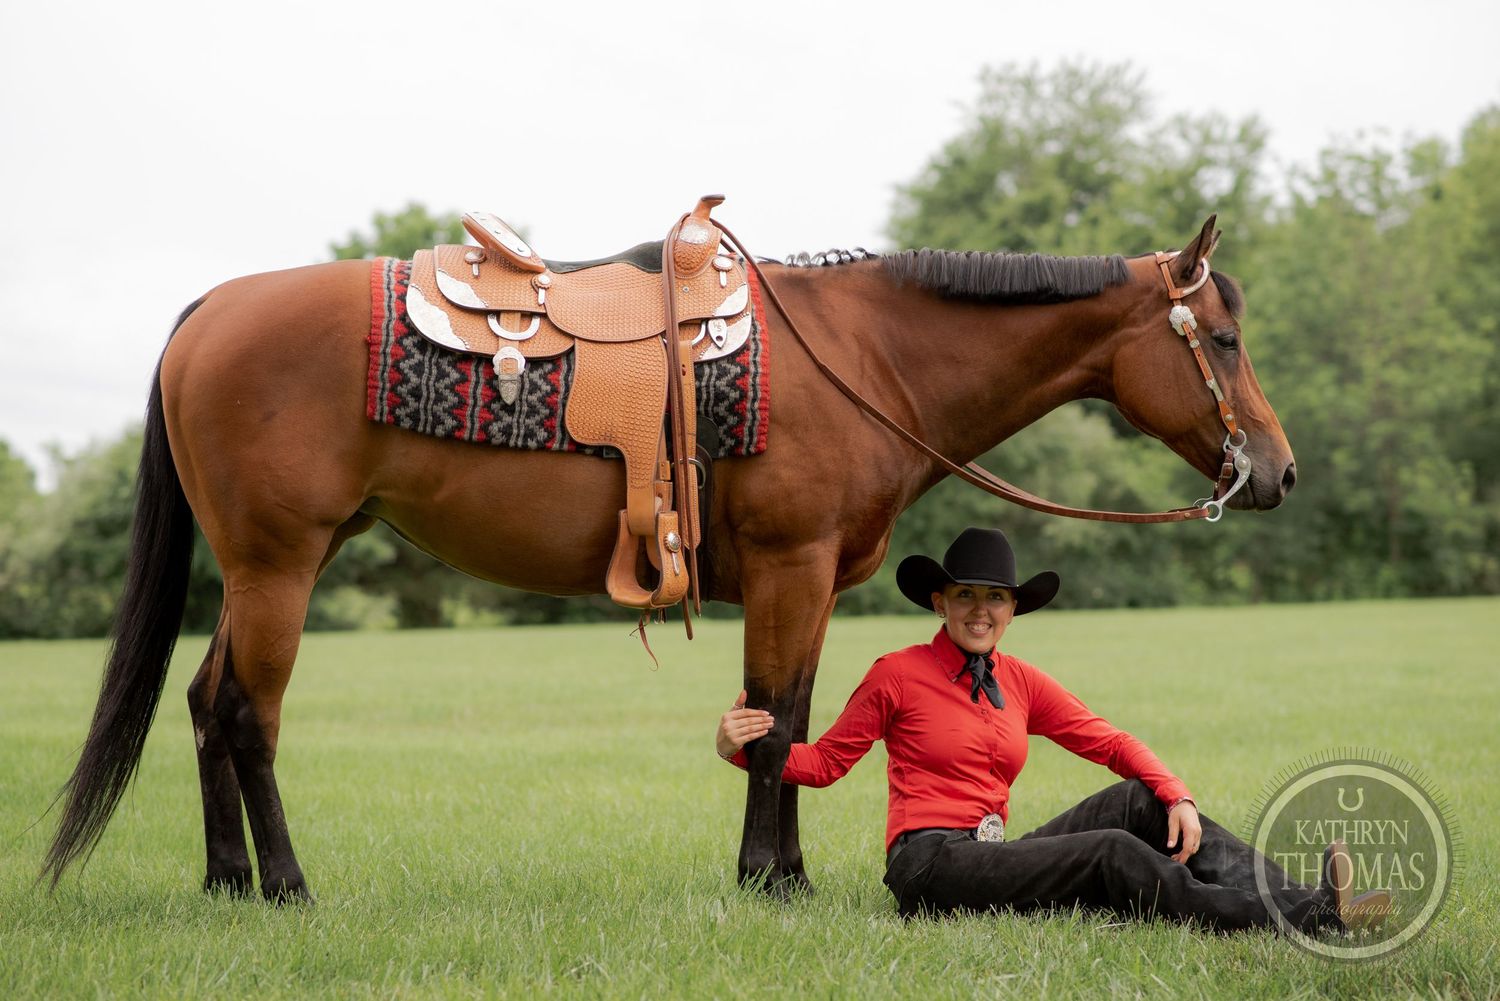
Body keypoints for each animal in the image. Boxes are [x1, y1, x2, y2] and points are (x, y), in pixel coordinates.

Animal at [43, 214, 1294, 900]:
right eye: (1226, 337)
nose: (1277, 472)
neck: (863, 354)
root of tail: (210, 312)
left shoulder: (805, 580)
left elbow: (788, 716)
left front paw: (781, 869)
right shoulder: (792, 565)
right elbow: (778, 721)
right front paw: (770, 879)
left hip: (258, 572)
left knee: (204, 704)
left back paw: (227, 881)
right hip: (278, 567)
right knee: (246, 714)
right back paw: (288, 887)